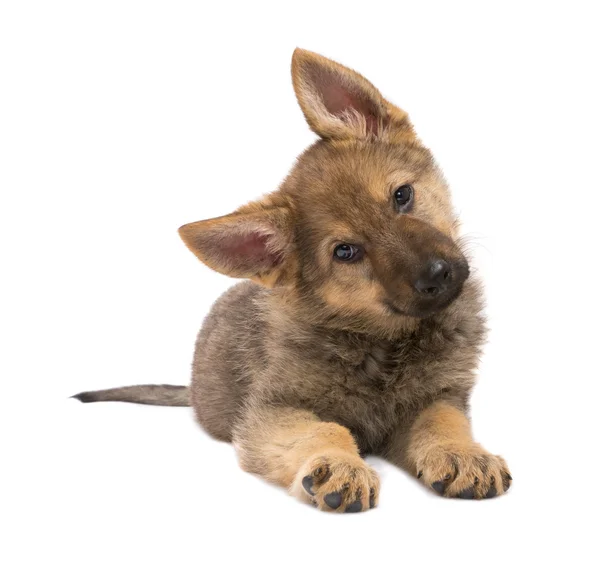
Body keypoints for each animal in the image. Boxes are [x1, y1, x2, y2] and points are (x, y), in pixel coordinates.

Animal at [75, 47, 512, 508]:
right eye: (346, 252)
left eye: (402, 195)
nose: (438, 275)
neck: (381, 342)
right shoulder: (273, 413)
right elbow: (324, 430)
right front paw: (338, 465)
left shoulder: (439, 398)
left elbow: (442, 423)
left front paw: (463, 455)